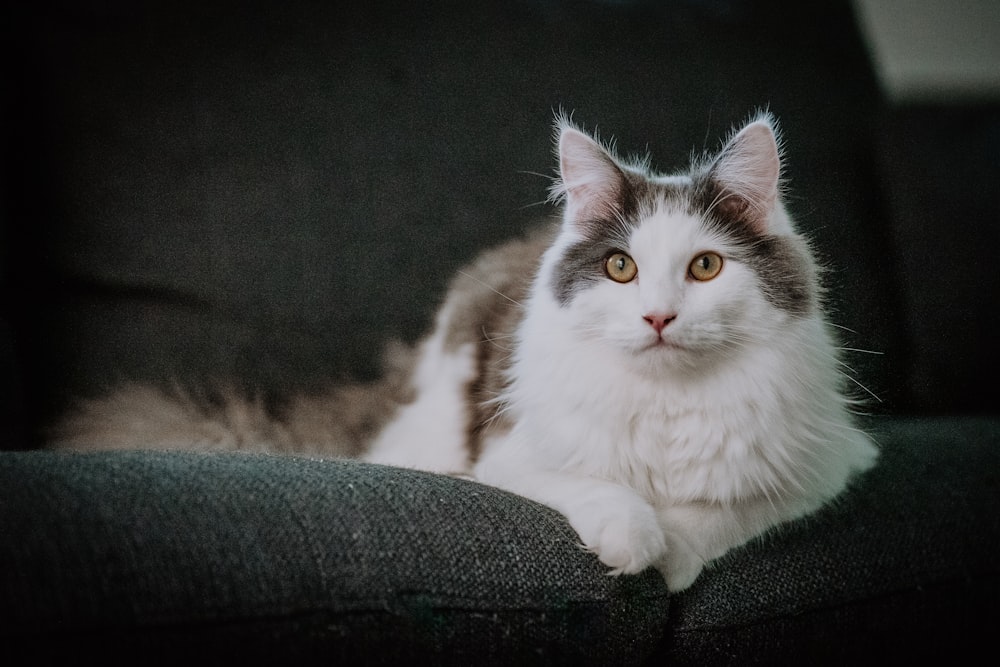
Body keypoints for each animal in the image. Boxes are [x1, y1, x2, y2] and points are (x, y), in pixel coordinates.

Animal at [50, 112, 880, 592]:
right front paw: (635, 539)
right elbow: (601, 490)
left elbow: (717, 513)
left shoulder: (820, 468)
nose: (657, 316)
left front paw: (671, 552)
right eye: (621, 267)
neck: (667, 397)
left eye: (706, 266)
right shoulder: (508, 454)